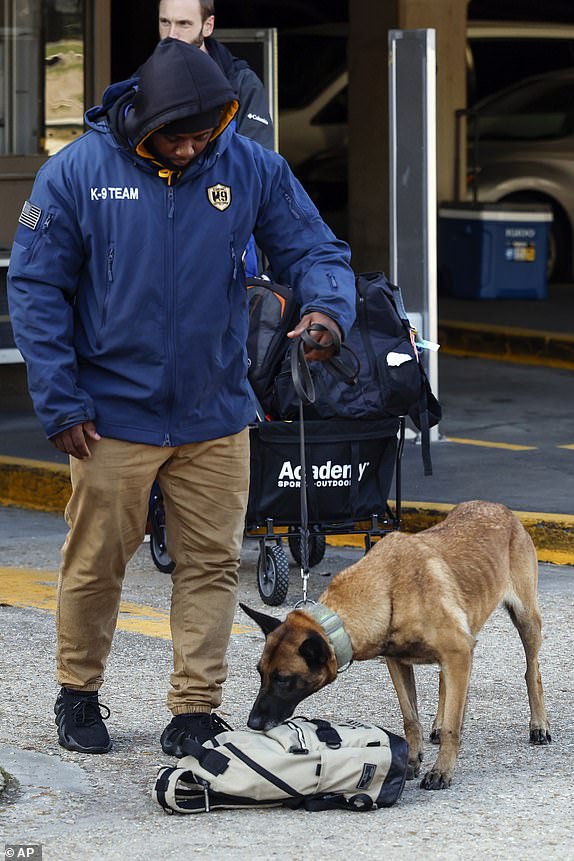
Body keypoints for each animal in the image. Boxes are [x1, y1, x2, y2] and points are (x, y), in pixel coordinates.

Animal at [242, 500, 552, 788]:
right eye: (260, 673)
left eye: (284, 679)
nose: (252, 723)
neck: (387, 589)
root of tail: (498, 506)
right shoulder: (401, 662)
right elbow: (411, 719)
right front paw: (412, 761)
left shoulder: (457, 651)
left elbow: (452, 728)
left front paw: (442, 771)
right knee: (445, 681)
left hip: (525, 620)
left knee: (532, 671)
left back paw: (539, 725)